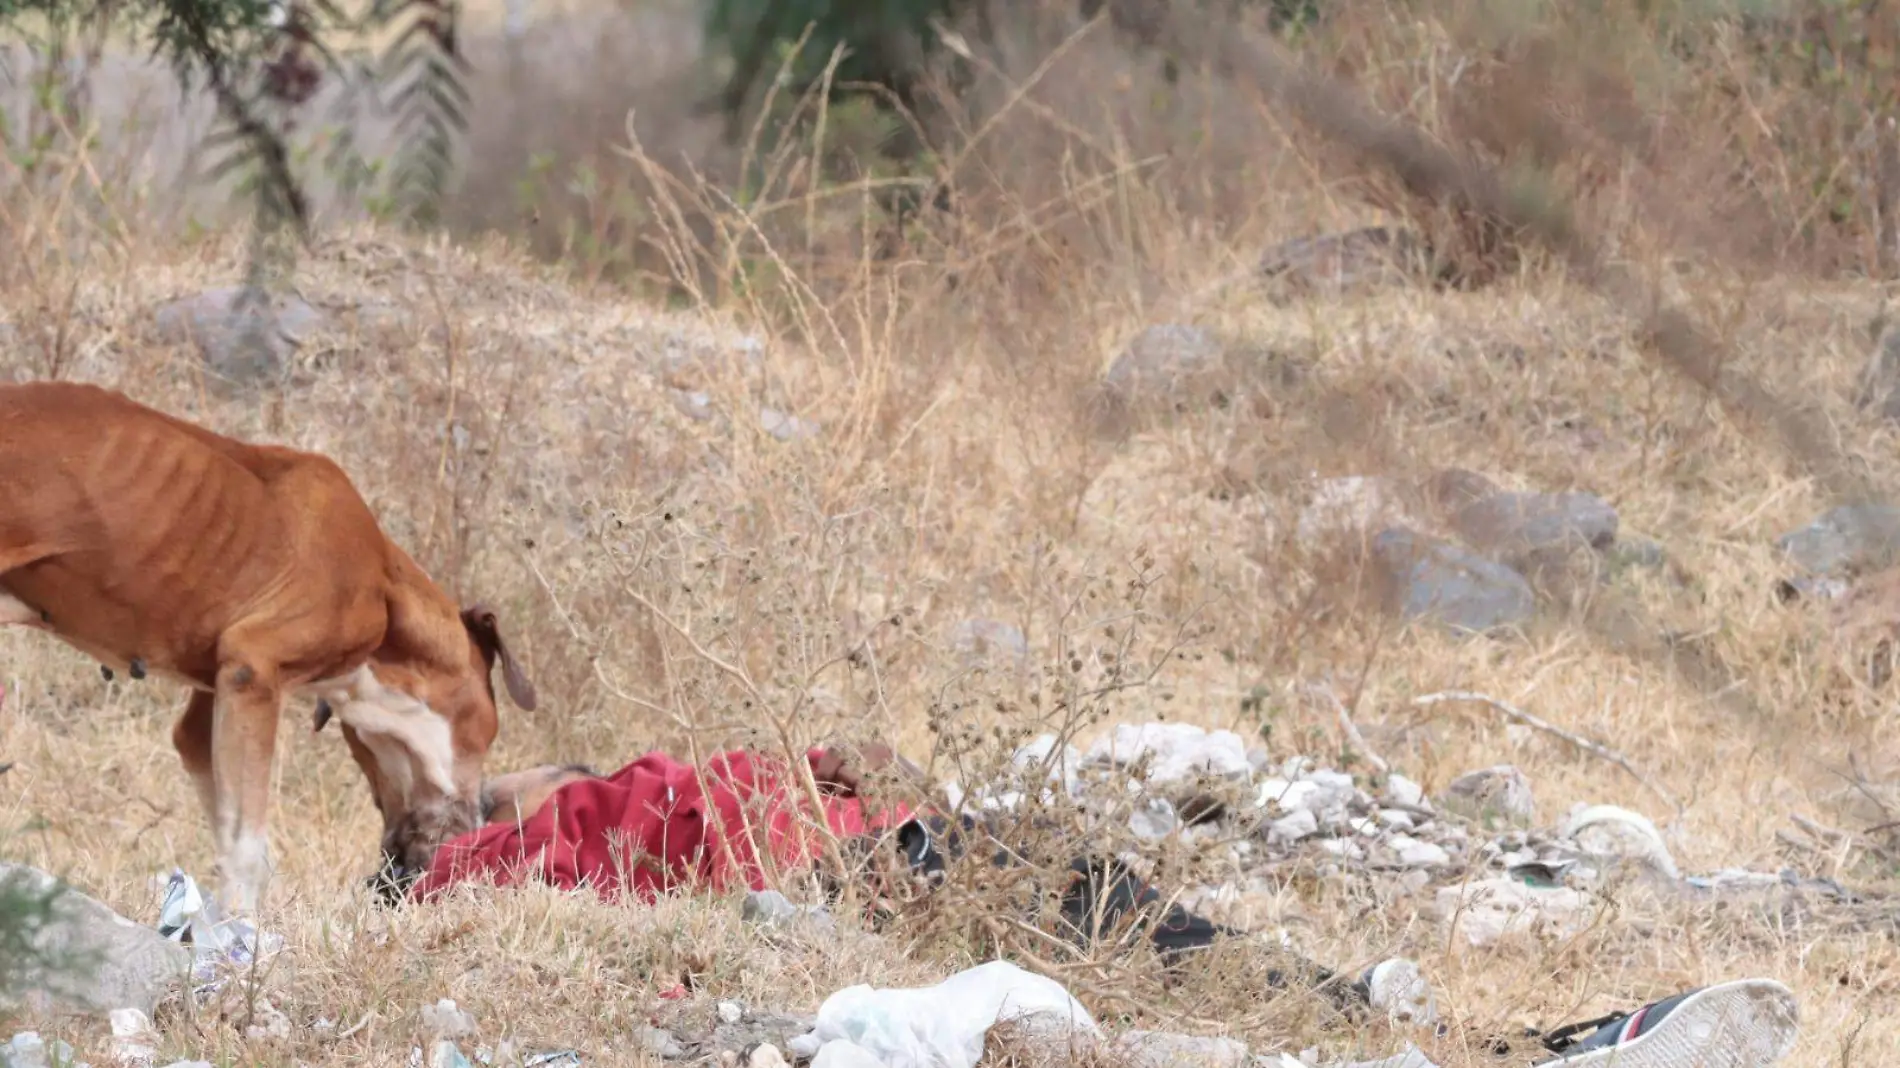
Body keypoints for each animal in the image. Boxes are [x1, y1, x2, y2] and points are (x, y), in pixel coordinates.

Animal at [0, 381, 539, 915]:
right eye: (484, 732)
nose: (481, 821)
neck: (386, 595)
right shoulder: (253, 676)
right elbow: (246, 846)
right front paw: (240, 933)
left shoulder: (211, 706)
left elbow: (229, 830)